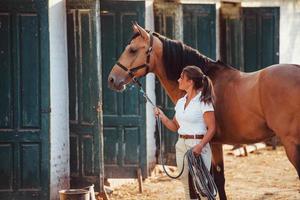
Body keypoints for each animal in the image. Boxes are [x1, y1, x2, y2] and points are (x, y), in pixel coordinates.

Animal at [107, 22, 300, 199]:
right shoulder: (216, 143)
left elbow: (213, 181)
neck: (203, 82)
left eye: (132, 50)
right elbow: (218, 180)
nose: (112, 79)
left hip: (291, 143)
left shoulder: (209, 143)